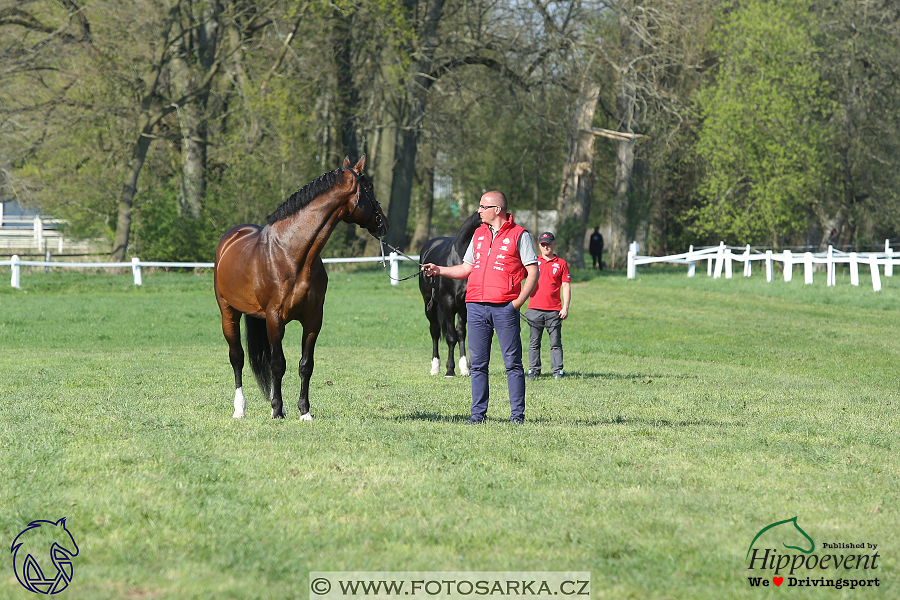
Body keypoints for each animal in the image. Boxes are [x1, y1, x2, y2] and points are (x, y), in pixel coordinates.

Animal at [218, 157, 390, 420]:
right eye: (369, 188)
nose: (385, 224)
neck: (293, 254)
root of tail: (231, 237)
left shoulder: (313, 319)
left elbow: (305, 365)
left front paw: (303, 411)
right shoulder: (275, 318)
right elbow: (278, 364)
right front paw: (276, 411)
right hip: (229, 311)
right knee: (237, 357)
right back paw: (240, 408)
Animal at [418, 212, 482, 376]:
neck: (458, 259)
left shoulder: (464, 306)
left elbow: (461, 333)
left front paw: (465, 368)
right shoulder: (449, 303)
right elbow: (451, 337)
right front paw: (450, 369)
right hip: (429, 304)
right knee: (434, 330)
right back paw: (435, 367)